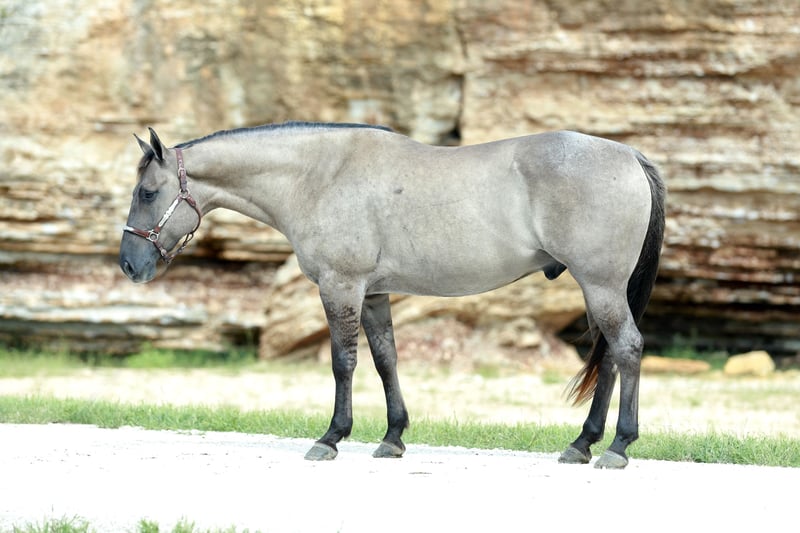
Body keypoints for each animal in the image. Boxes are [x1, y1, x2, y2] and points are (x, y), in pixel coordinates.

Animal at [119, 121, 666, 469]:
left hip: (600, 285)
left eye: (147, 193)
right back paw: (583, 444)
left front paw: (332, 437)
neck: (320, 175)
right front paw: (393, 437)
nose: (129, 264)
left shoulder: (342, 286)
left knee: (627, 349)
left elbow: (343, 363)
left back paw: (617, 447)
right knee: (611, 359)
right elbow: (386, 361)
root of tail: (629, 155)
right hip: (601, 290)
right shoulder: (375, 294)